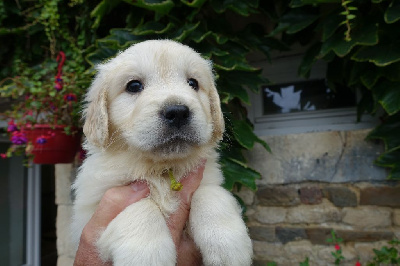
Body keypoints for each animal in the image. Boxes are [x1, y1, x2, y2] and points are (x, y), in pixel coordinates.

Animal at [71, 40, 252, 266]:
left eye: (193, 83)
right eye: (134, 86)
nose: (178, 112)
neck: (162, 170)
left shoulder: (208, 179)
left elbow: (210, 194)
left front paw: (228, 245)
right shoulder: (92, 210)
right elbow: (141, 206)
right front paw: (147, 255)